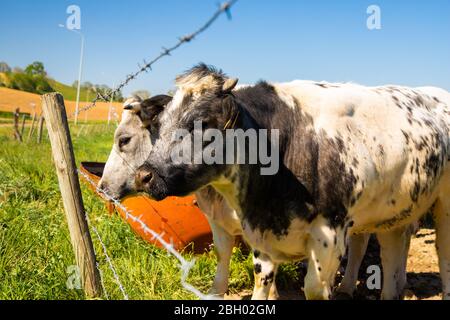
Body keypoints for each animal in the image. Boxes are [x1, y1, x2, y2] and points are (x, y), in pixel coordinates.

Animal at [136, 63, 450, 298]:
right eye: (159, 125)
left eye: (200, 123)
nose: (144, 175)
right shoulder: (260, 236)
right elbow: (260, 282)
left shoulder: (329, 236)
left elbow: (313, 289)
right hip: (394, 213)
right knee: (391, 255)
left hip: (443, 206)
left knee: (443, 255)